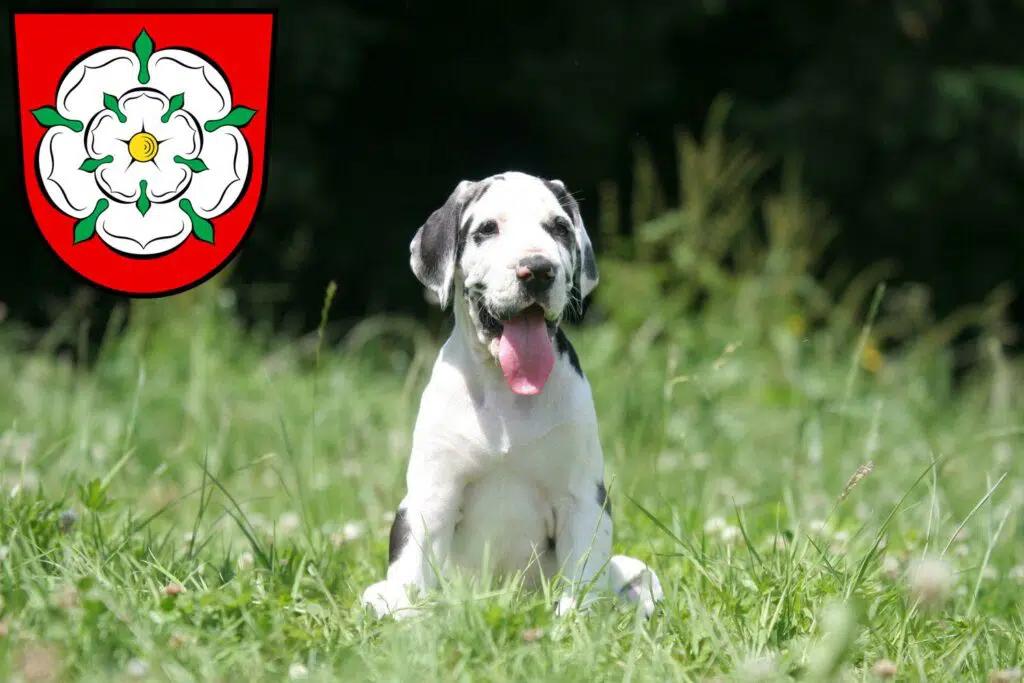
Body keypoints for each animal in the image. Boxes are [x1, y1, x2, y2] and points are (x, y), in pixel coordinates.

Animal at [362, 169, 663, 618]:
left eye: (559, 227)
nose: (537, 270)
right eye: (487, 229)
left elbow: (580, 582)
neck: (506, 393)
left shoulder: (582, 498)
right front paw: (412, 626)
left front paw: (572, 624)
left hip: (636, 570)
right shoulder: (429, 499)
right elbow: (412, 579)